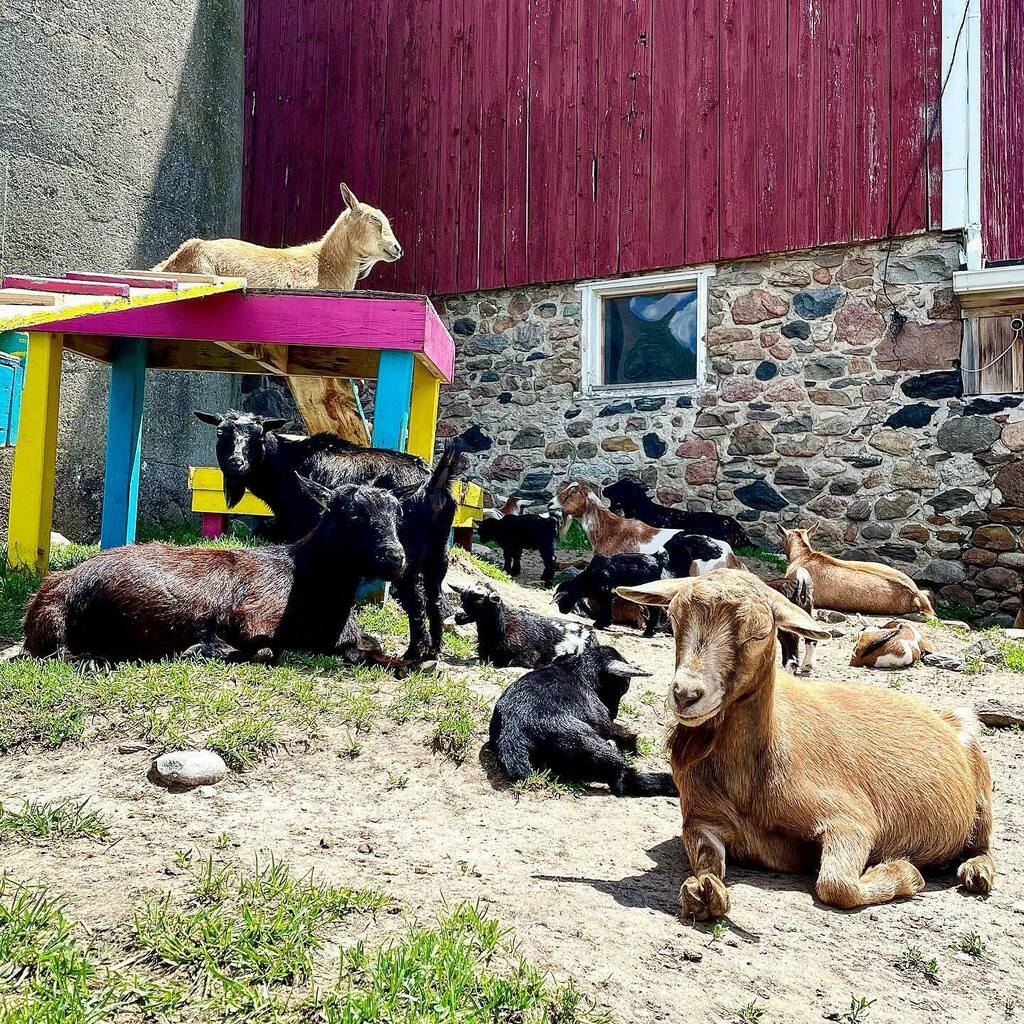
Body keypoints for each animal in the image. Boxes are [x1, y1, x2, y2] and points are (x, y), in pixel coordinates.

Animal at [25, 481, 407, 665]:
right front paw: (203, 649)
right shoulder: (253, 617)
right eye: (352, 515)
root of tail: (56, 585)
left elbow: (371, 647)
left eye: (397, 515)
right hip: (56, 624)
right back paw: (95, 661)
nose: (396, 558)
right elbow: (265, 651)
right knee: (55, 655)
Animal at [488, 643, 676, 796]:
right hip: (590, 745)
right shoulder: (601, 721)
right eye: (622, 688)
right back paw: (669, 783)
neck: (576, 669)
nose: (613, 713)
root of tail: (512, 733)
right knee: (621, 781)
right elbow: (625, 735)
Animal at [617, 569, 996, 918]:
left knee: (984, 843)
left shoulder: (851, 820)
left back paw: (976, 873)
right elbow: (707, 865)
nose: (686, 694)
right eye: (672, 618)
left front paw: (906, 872)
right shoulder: (701, 819)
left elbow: (836, 885)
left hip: (978, 770)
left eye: (759, 633)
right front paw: (703, 891)